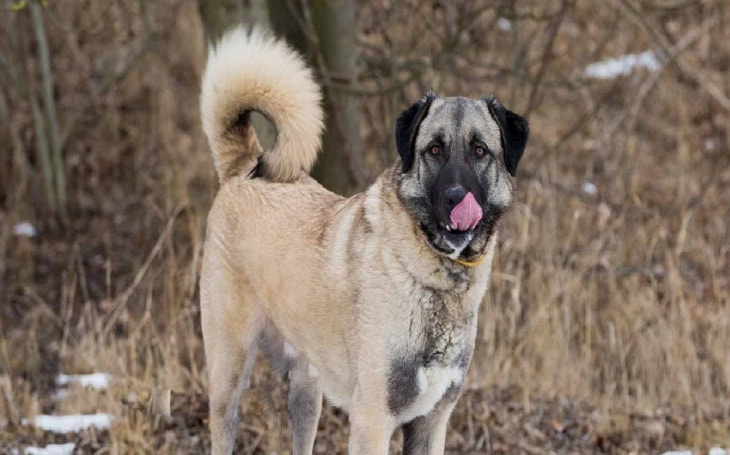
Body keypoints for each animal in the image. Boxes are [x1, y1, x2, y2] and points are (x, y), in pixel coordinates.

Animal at [199, 25, 528, 455]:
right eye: (434, 150)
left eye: (479, 150)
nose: (457, 198)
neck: (433, 277)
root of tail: (244, 166)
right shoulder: (373, 421)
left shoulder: (431, 422)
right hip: (229, 376)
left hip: (307, 389)